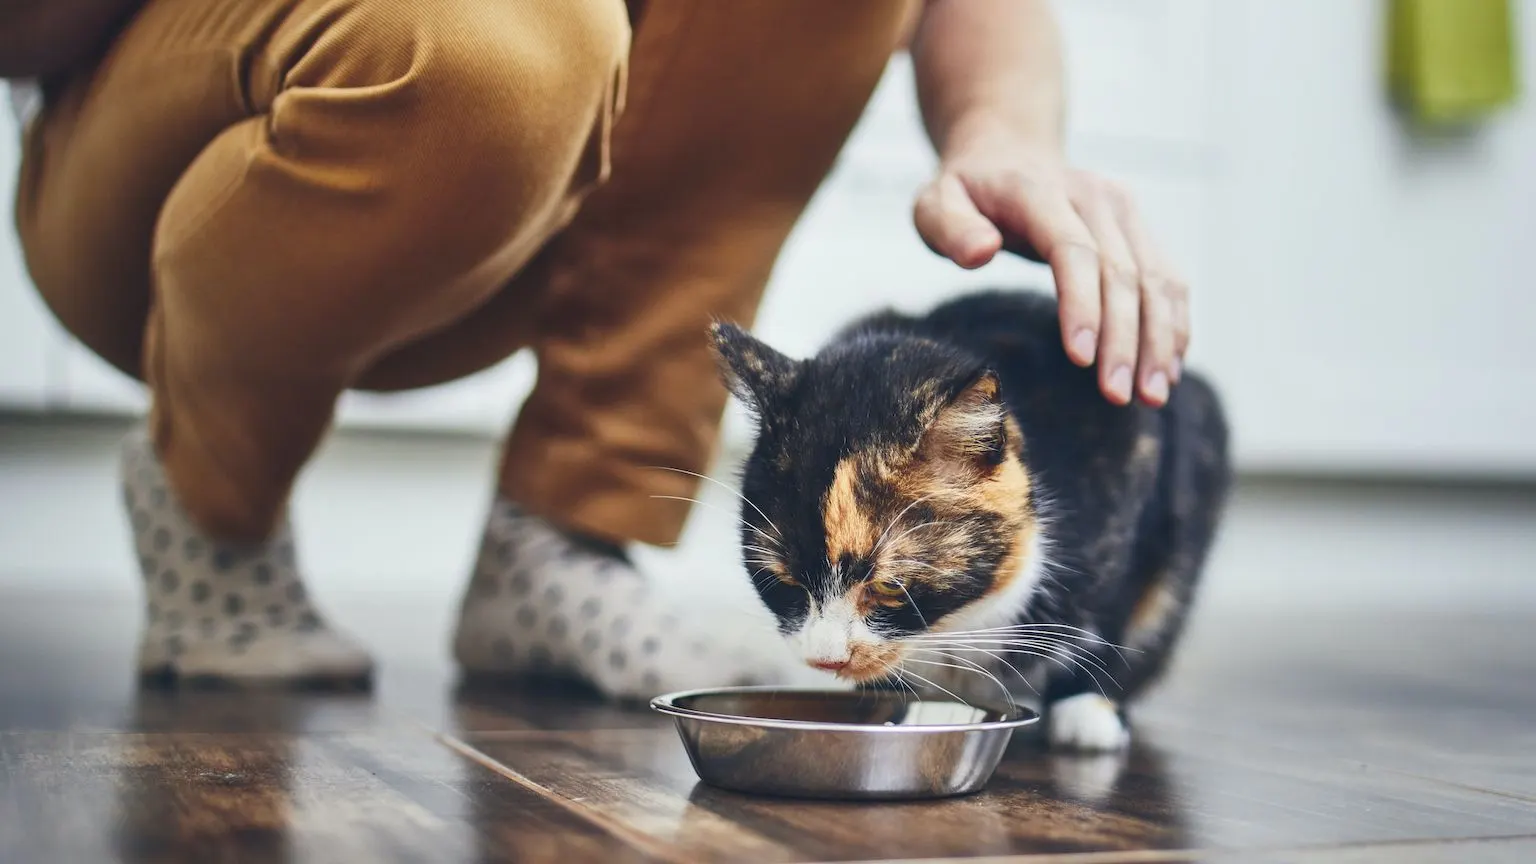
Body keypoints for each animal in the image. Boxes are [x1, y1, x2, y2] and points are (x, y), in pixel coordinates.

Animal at [712, 287, 1228, 747]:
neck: (954, 627)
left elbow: (1111, 611)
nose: (827, 659)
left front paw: (1088, 707)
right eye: (782, 581)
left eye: (890, 587)